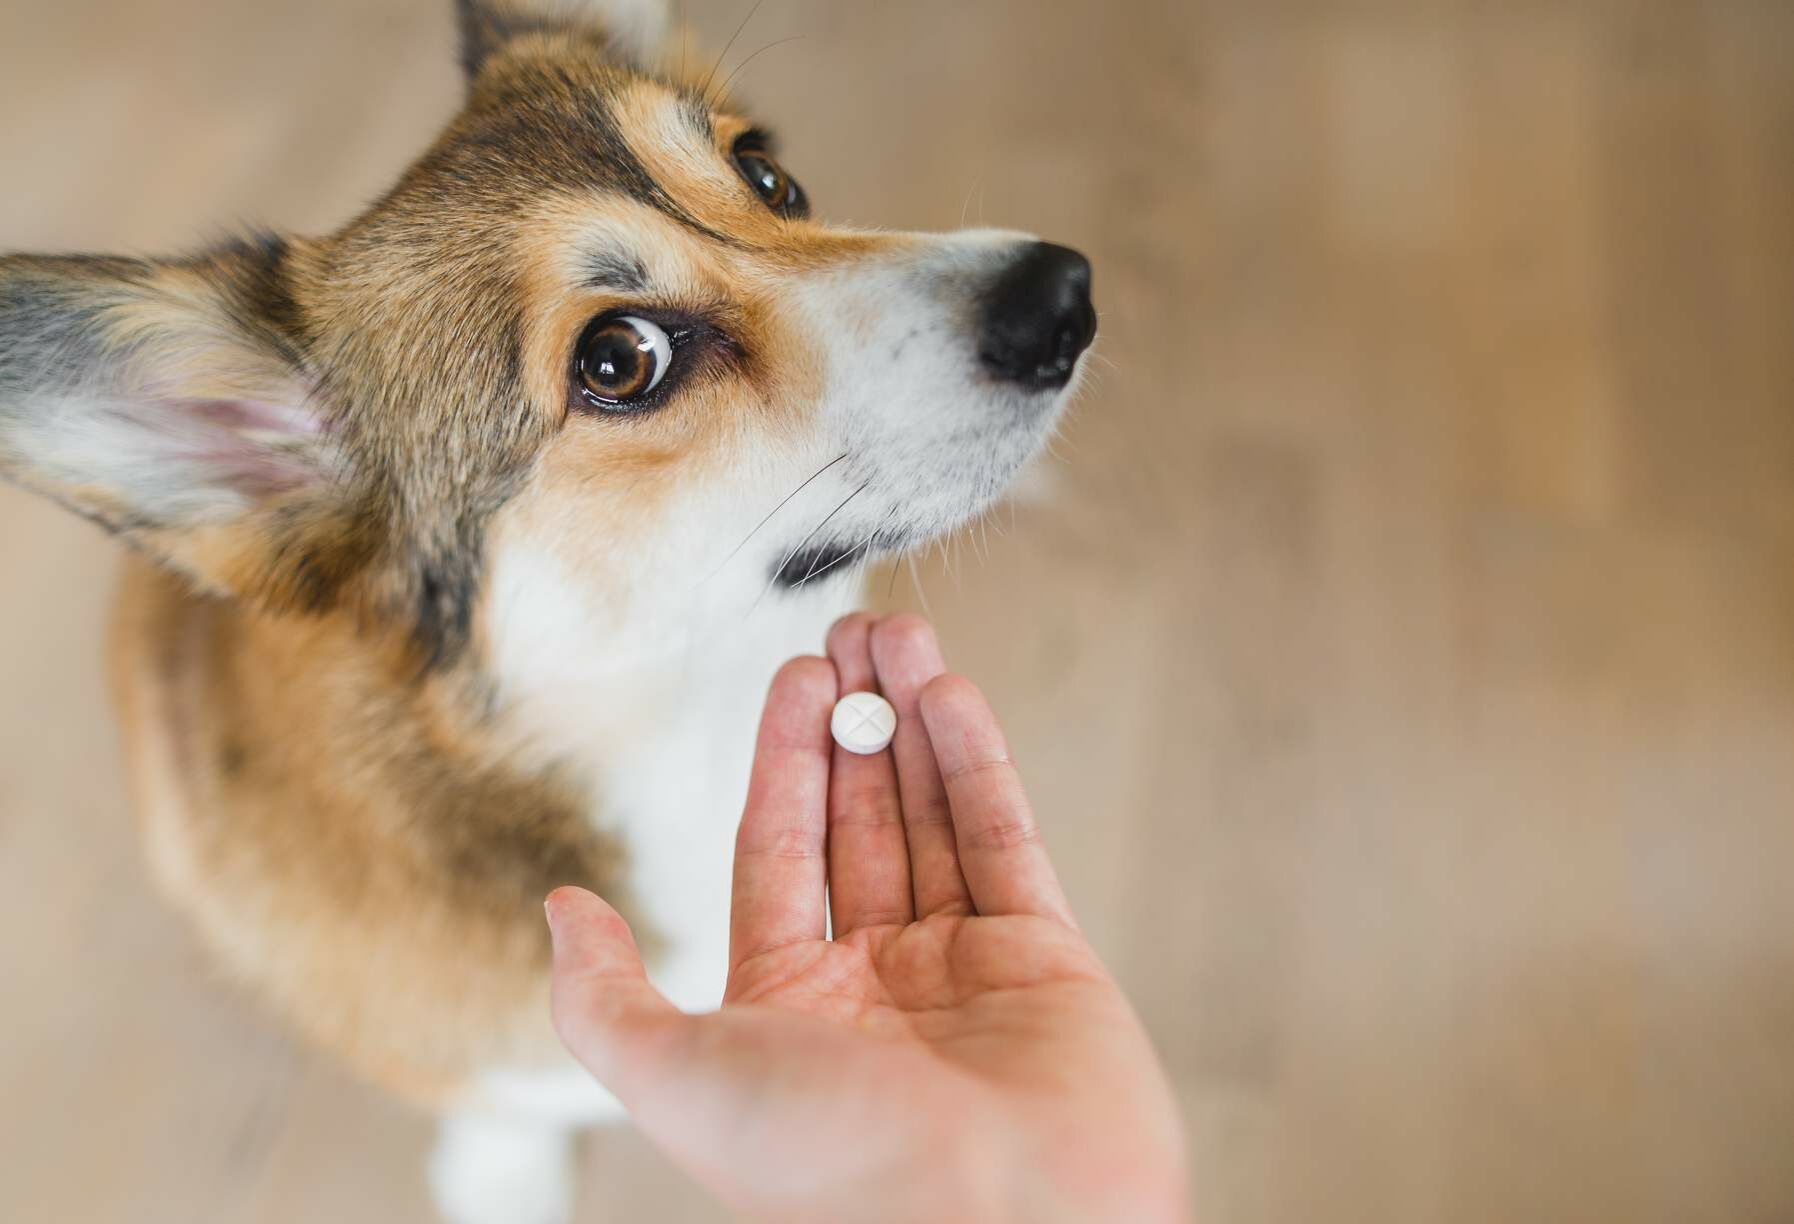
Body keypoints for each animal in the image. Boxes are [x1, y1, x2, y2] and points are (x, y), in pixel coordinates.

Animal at [0, 4, 1090, 1213]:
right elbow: (499, 1103)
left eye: (768, 176)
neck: (688, 720)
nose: (1065, 293)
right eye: (619, 359)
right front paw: (502, 1177)